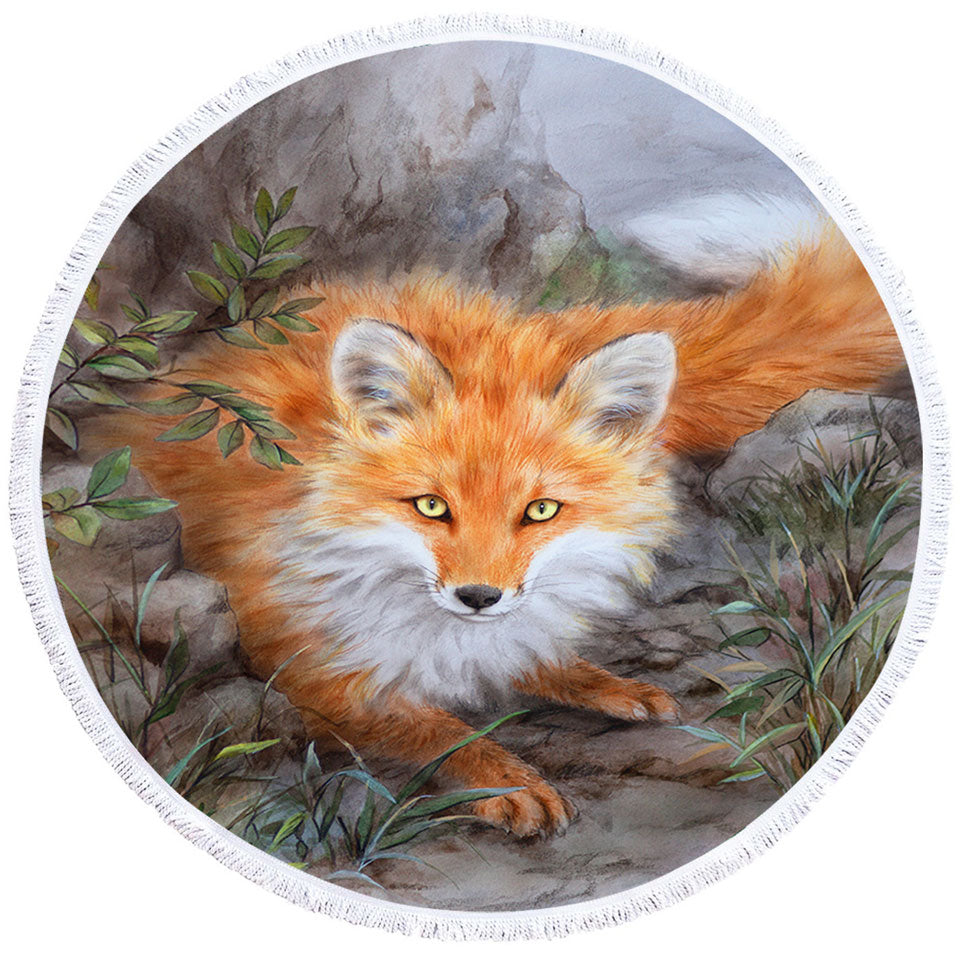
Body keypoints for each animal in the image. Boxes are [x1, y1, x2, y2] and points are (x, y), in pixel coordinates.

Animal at [88, 223, 905, 836]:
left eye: (539, 511)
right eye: (431, 507)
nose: (478, 597)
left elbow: (529, 656)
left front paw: (589, 679)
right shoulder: (306, 658)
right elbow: (440, 732)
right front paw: (505, 782)